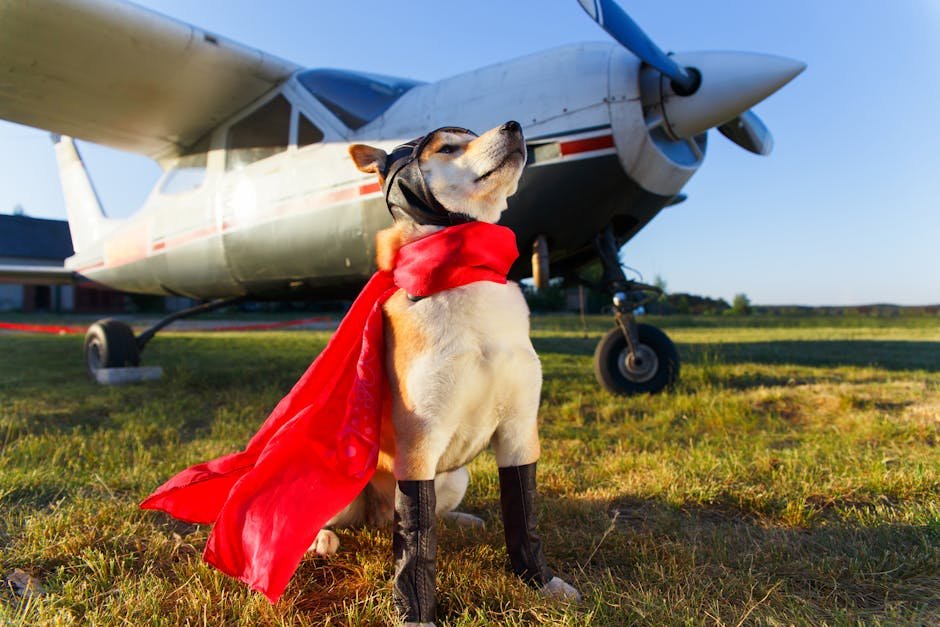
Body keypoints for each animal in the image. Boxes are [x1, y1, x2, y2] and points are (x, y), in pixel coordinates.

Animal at [312, 121, 576, 624]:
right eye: (449, 147)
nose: (514, 125)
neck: (464, 271)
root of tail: (376, 516)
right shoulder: (420, 439)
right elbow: (417, 548)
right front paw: (415, 611)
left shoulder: (519, 431)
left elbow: (524, 515)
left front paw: (540, 581)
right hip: (339, 476)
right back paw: (322, 539)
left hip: (455, 475)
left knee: (423, 517)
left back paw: (461, 520)